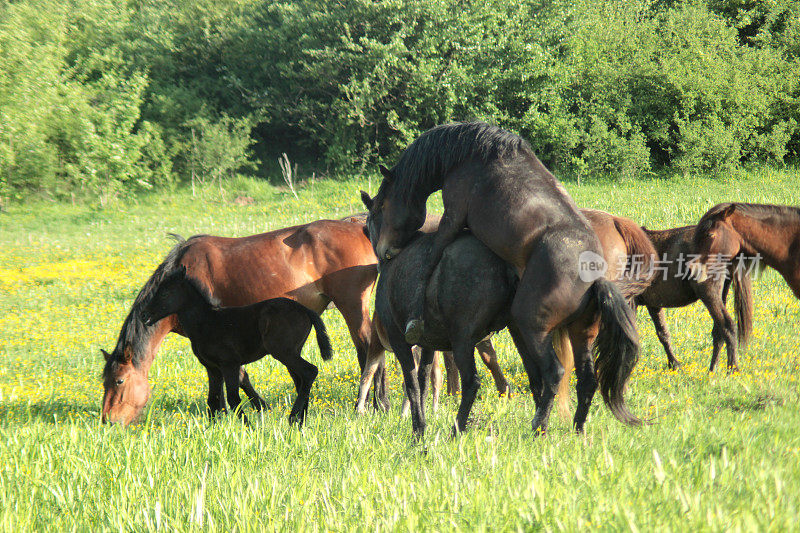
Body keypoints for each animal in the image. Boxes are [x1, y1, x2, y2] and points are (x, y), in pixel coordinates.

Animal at [141, 264, 332, 424]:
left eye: (164, 293)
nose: (144, 315)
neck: (206, 322)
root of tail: (306, 310)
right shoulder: (212, 368)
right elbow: (213, 400)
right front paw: (212, 430)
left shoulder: (229, 363)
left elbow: (233, 399)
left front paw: (250, 428)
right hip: (292, 351)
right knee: (300, 380)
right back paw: (300, 421)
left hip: (283, 351)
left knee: (309, 371)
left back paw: (293, 418)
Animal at [368, 122, 644, 434]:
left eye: (379, 207)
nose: (384, 252)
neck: (470, 156)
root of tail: (595, 279)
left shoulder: (453, 218)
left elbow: (431, 257)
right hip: (580, 333)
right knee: (586, 380)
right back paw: (577, 430)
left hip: (530, 327)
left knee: (552, 373)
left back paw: (536, 427)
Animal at [636, 224, 756, 370]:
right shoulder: (653, 304)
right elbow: (663, 333)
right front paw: (674, 365)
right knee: (718, 332)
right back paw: (712, 369)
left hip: (709, 294)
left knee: (727, 326)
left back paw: (732, 369)